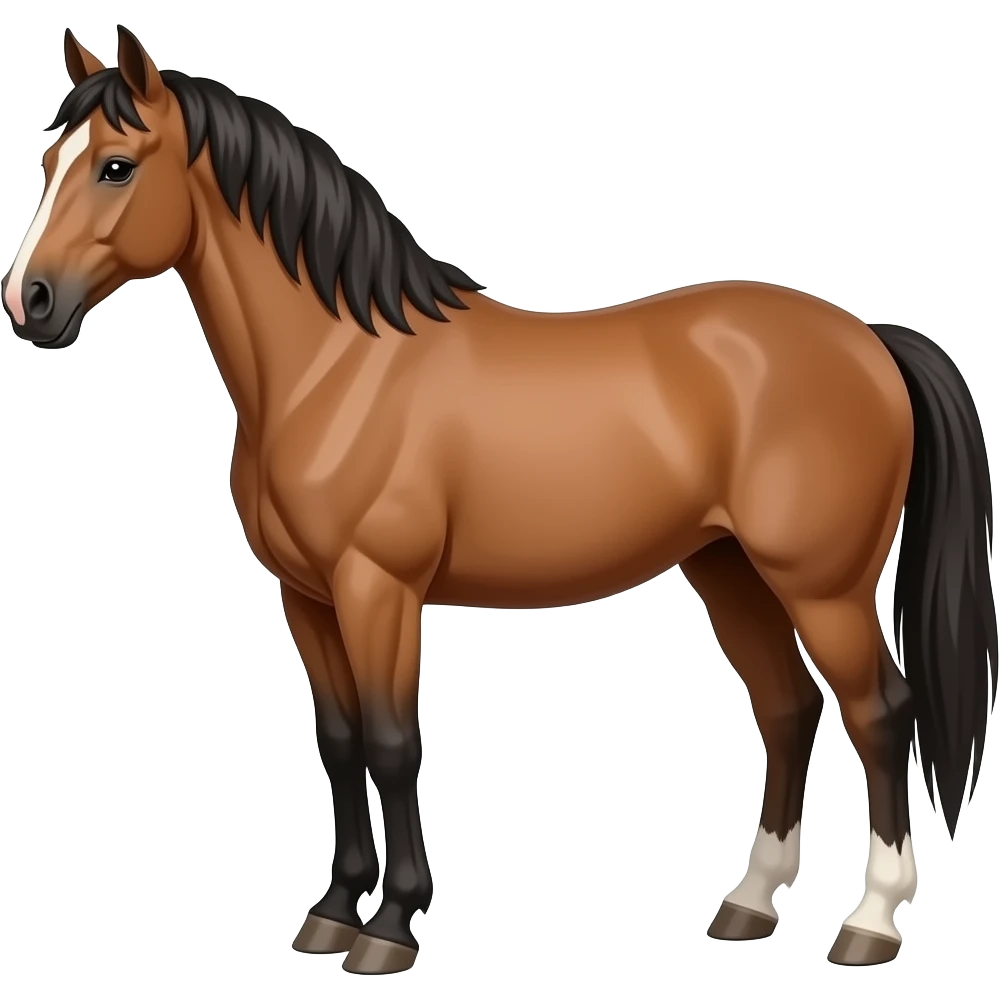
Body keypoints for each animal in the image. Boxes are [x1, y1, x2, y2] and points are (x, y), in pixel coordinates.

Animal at [3, 25, 996, 975]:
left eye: (115, 165)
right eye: (51, 161)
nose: (29, 302)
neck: (336, 366)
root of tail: (868, 339)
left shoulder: (378, 590)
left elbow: (394, 744)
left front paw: (390, 929)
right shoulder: (307, 597)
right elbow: (341, 743)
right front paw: (332, 912)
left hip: (821, 586)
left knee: (880, 714)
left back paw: (869, 923)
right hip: (730, 570)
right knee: (787, 710)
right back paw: (748, 906)